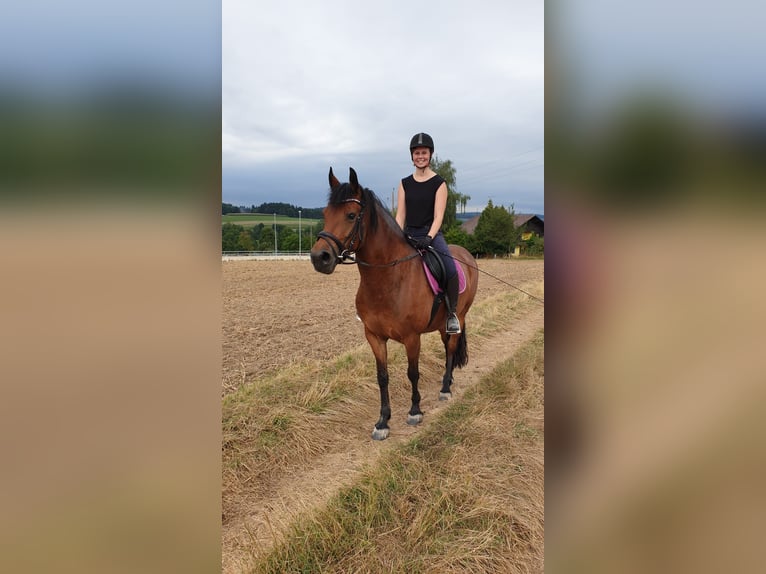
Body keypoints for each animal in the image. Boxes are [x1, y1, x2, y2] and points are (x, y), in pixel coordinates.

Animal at [310, 167, 479, 440]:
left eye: (351, 215)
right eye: (325, 214)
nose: (319, 258)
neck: (388, 279)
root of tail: (466, 255)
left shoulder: (412, 337)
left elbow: (413, 372)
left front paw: (415, 411)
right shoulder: (374, 336)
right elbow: (382, 376)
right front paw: (382, 422)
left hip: (459, 317)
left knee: (452, 347)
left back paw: (445, 388)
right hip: (441, 324)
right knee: (447, 348)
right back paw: (449, 380)